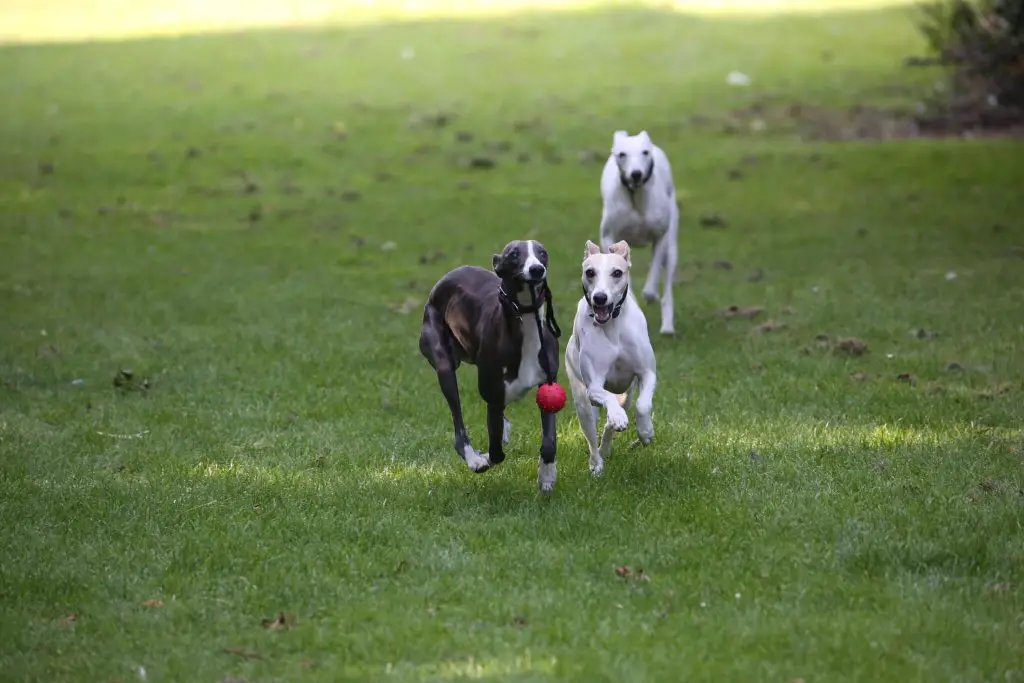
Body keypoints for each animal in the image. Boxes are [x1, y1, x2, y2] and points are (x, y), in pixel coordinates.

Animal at [565, 242, 659, 479]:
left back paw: (607, 444)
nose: (600, 297)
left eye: (617, 272)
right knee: (591, 433)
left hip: (626, 393)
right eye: (590, 272)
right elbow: (603, 395)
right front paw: (618, 418)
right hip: (582, 401)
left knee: (616, 415)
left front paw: (645, 431)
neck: (612, 326)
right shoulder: (594, 386)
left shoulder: (647, 373)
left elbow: (643, 404)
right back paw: (596, 463)